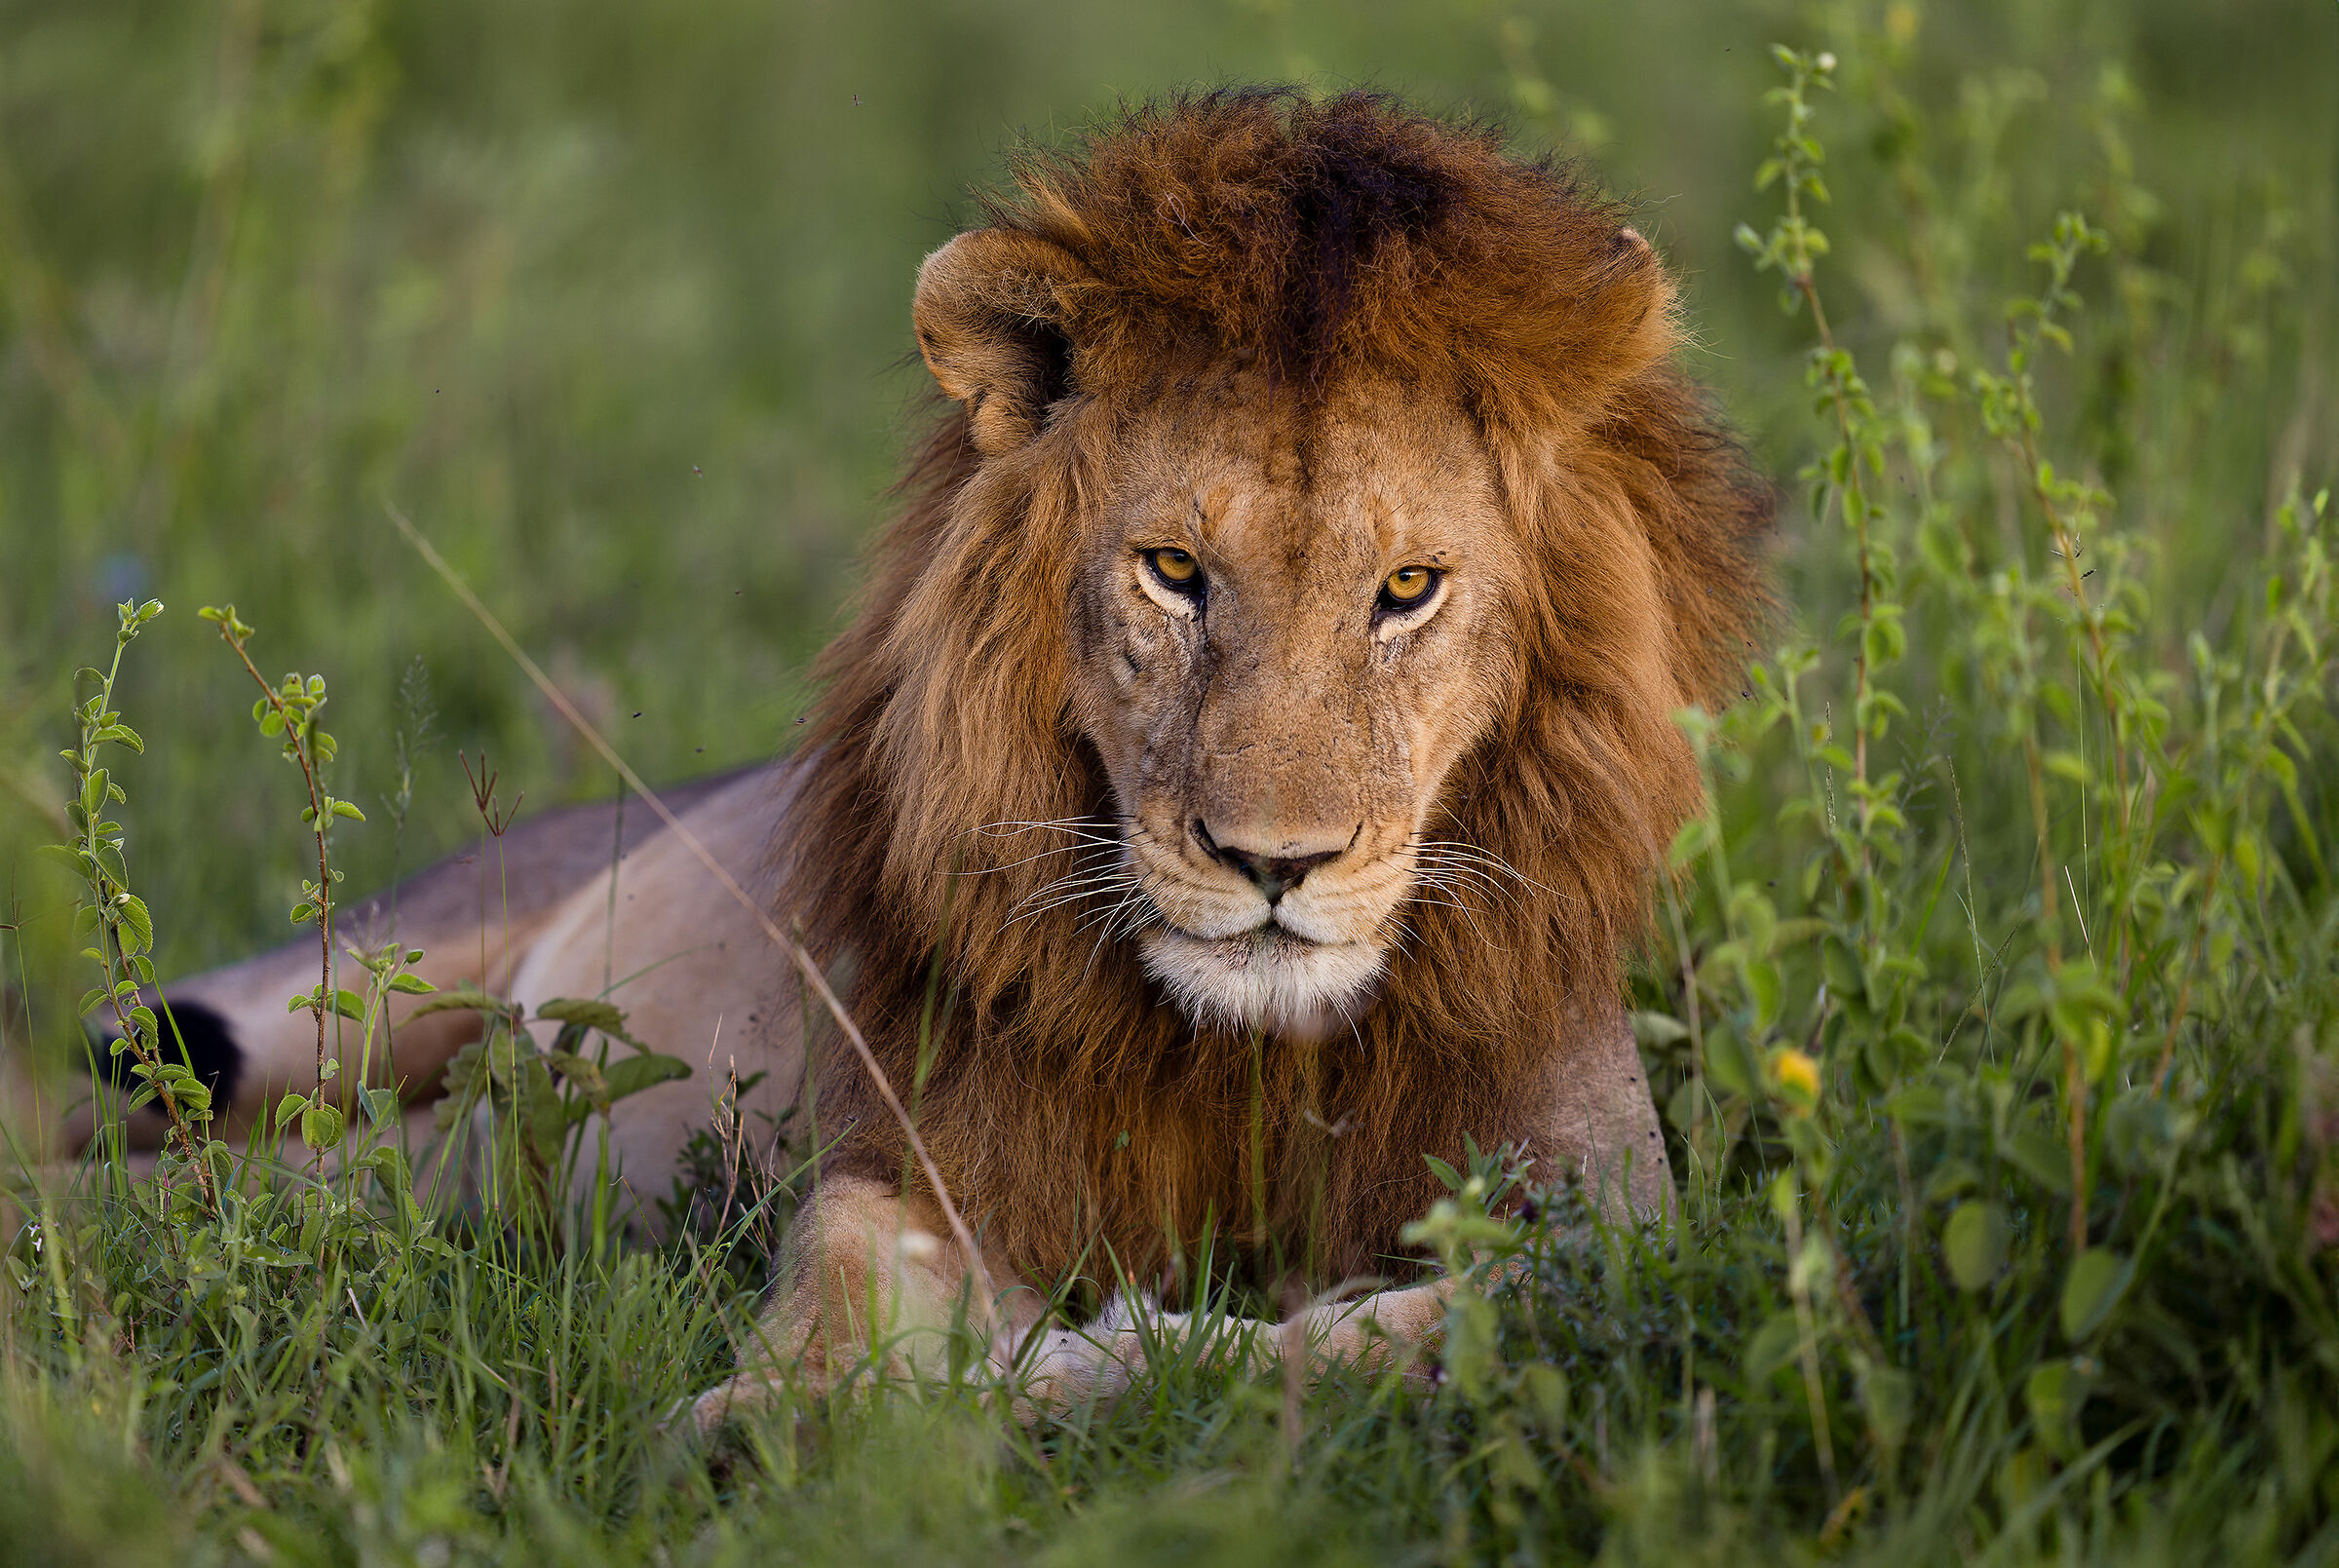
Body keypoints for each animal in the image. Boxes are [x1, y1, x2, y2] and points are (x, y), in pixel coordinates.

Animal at [15, 90, 1770, 1418]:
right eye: (1173, 571)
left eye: (1407, 588)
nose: (1275, 864)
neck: (1245, 1051)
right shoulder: (929, 1150)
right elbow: (845, 1285)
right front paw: (785, 1423)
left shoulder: (1607, 1219)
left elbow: (1425, 1325)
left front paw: (1119, 1353)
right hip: (350, 992)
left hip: (411, 1143)